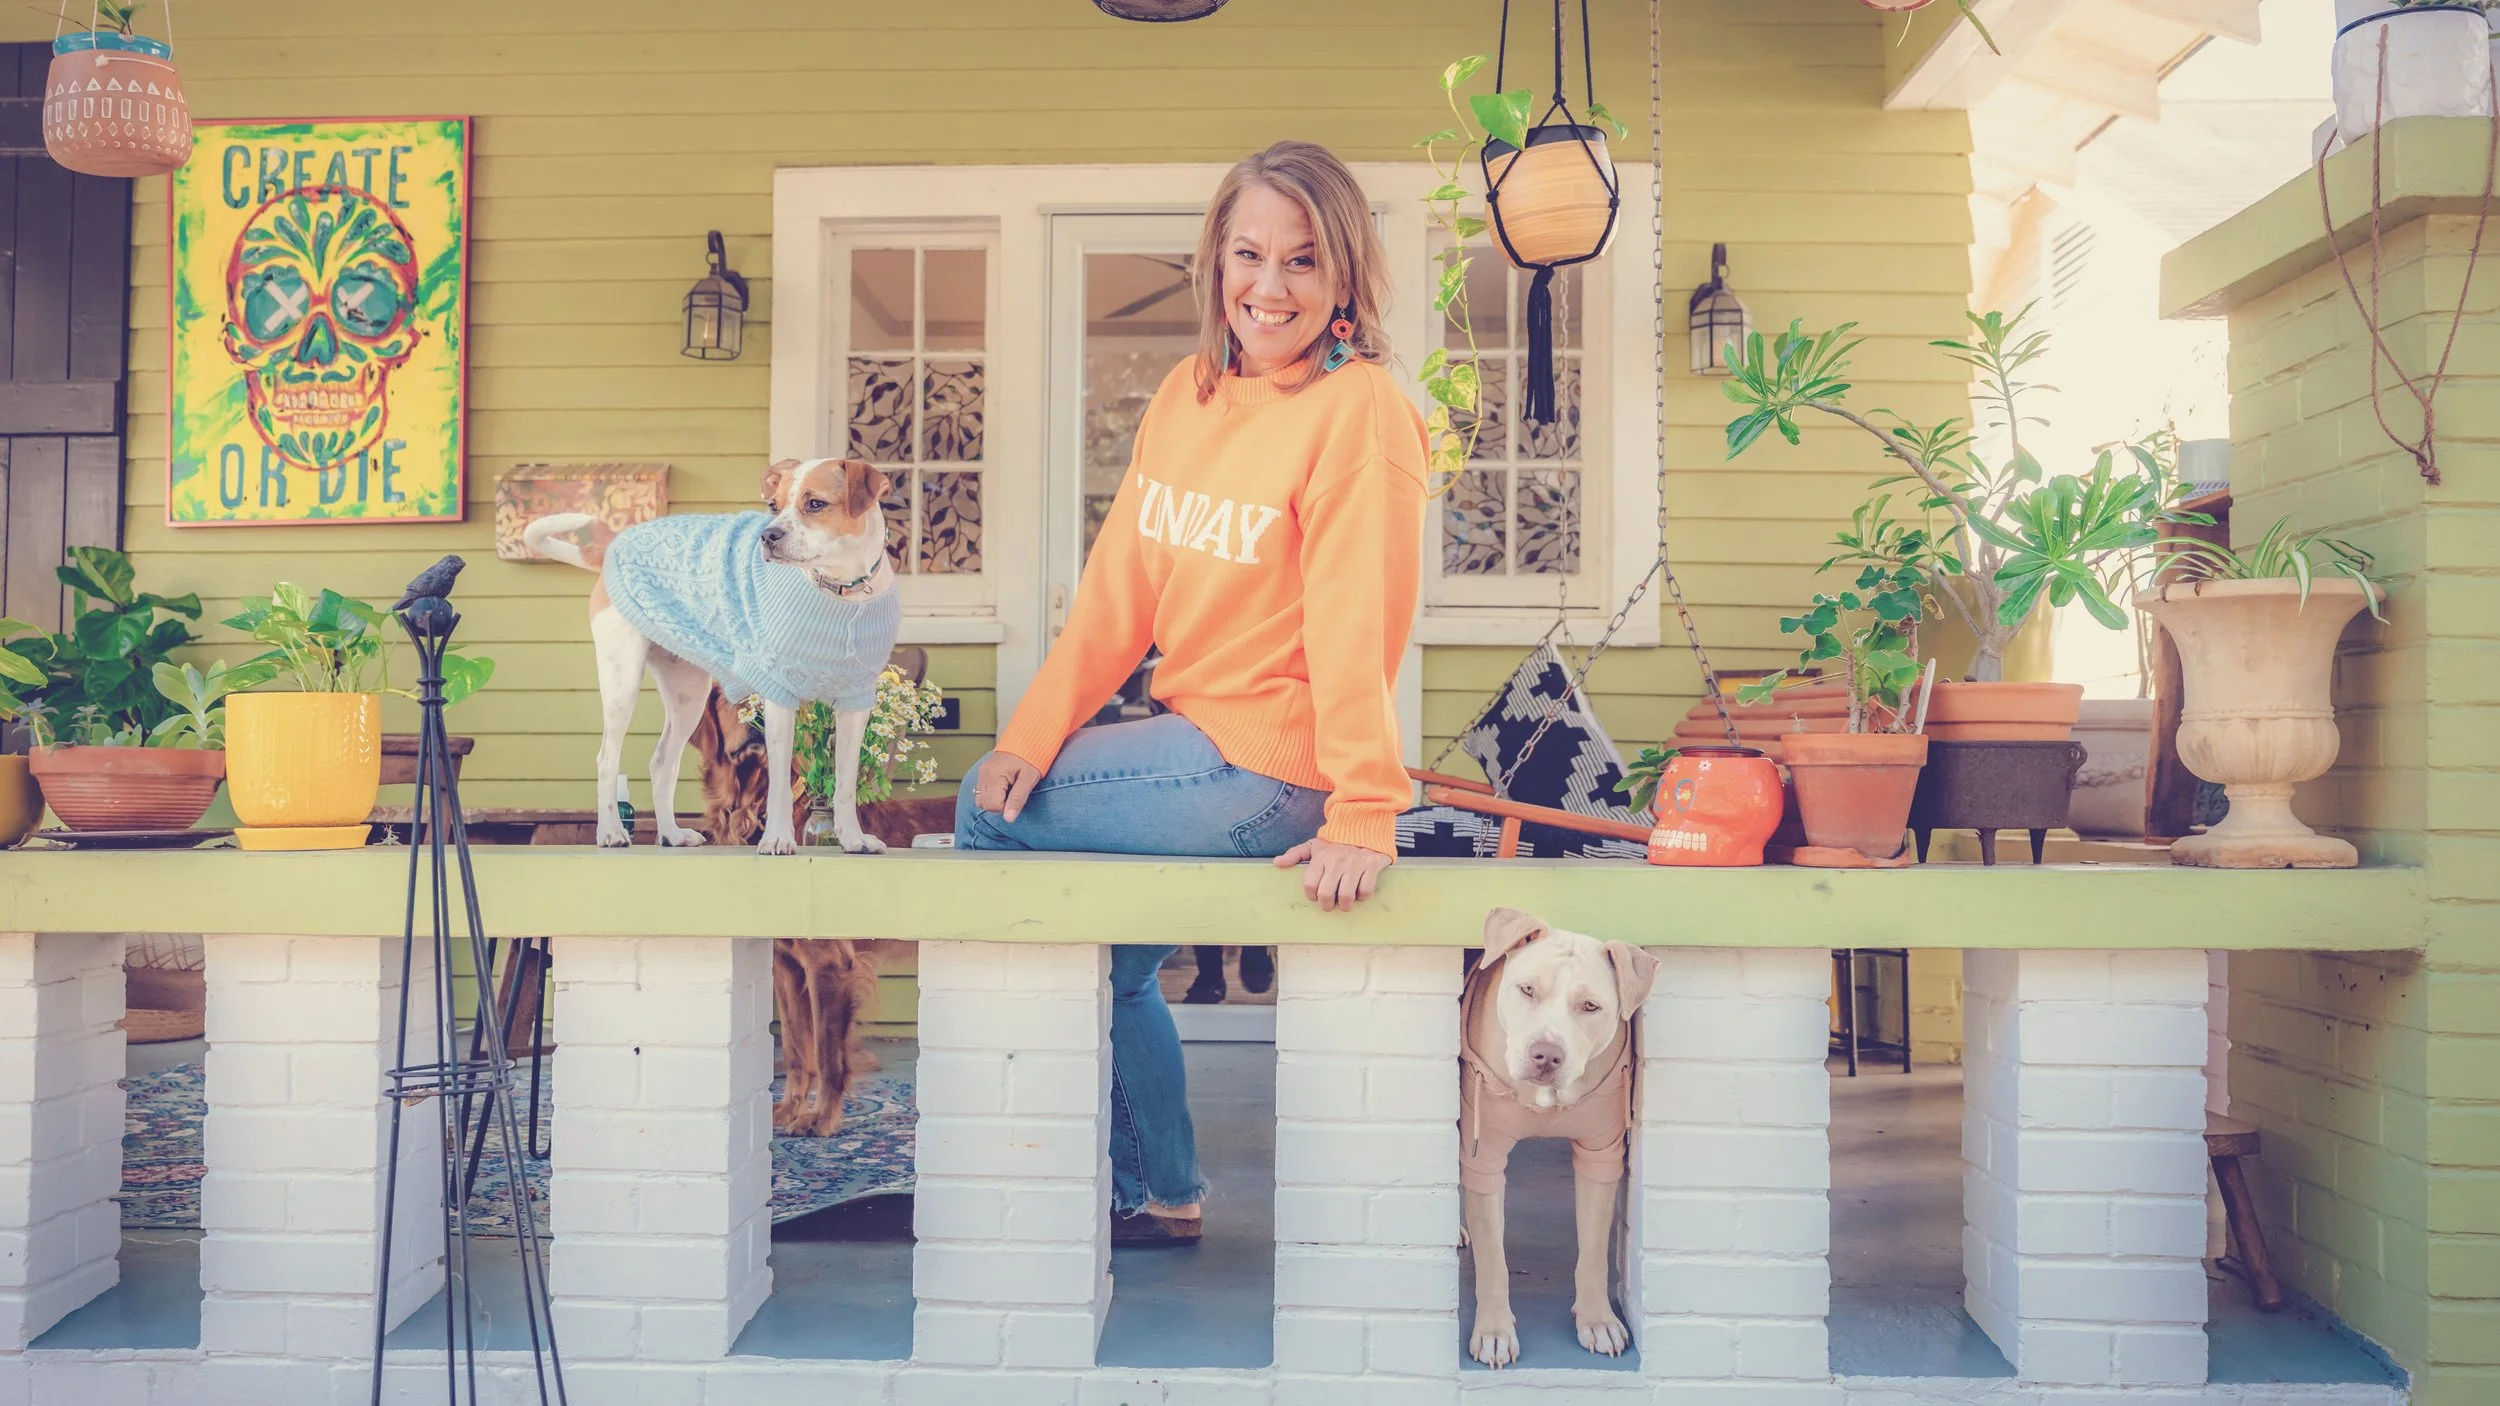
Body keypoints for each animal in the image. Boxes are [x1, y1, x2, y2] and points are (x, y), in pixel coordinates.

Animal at [522, 457, 900, 856]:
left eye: (815, 504)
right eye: (773, 506)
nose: (768, 536)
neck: (843, 592)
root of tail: (614, 544)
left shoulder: (856, 702)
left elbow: (845, 783)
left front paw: (854, 839)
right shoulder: (780, 694)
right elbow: (781, 783)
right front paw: (778, 839)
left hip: (688, 694)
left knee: (662, 762)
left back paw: (672, 834)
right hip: (621, 681)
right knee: (607, 758)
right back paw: (610, 832)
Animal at [1459, 906, 1660, 1369]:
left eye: (1590, 1006)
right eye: (1527, 990)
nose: (1546, 1055)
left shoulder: (1600, 1155)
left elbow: (1593, 1251)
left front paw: (1597, 1320)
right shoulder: (1484, 1157)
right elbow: (1492, 1256)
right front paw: (1494, 1331)